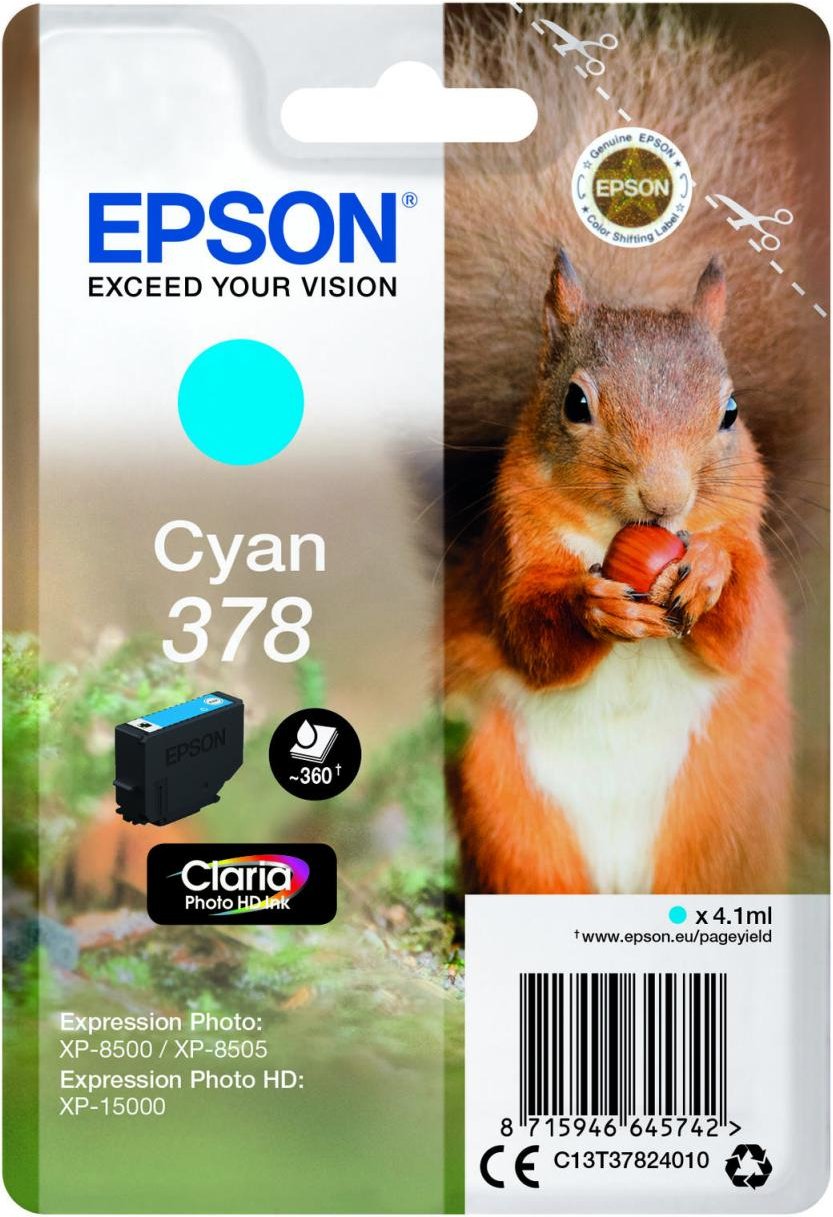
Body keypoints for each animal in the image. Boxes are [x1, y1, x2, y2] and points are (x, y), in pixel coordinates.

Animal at [443, 5, 827, 895]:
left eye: (730, 411)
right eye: (574, 403)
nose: (665, 500)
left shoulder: (747, 540)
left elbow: (738, 626)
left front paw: (709, 573)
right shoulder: (511, 548)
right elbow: (529, 632)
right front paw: (594, 606)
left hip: (722, 818)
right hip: (509, 814)